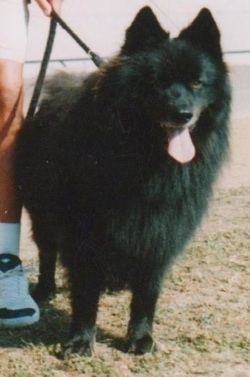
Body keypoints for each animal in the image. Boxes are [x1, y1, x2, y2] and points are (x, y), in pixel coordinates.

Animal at [15, 6, 230, 356]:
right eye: (157, 82)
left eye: (197, 83)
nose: (183, 113)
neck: (148, 163)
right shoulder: (85, 231)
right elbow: (86, 289)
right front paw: (80, 340)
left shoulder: (160, 232)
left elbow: (147, 291)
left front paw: (140, 337)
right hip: (43, 212)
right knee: (47, 252)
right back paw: (45, 289)